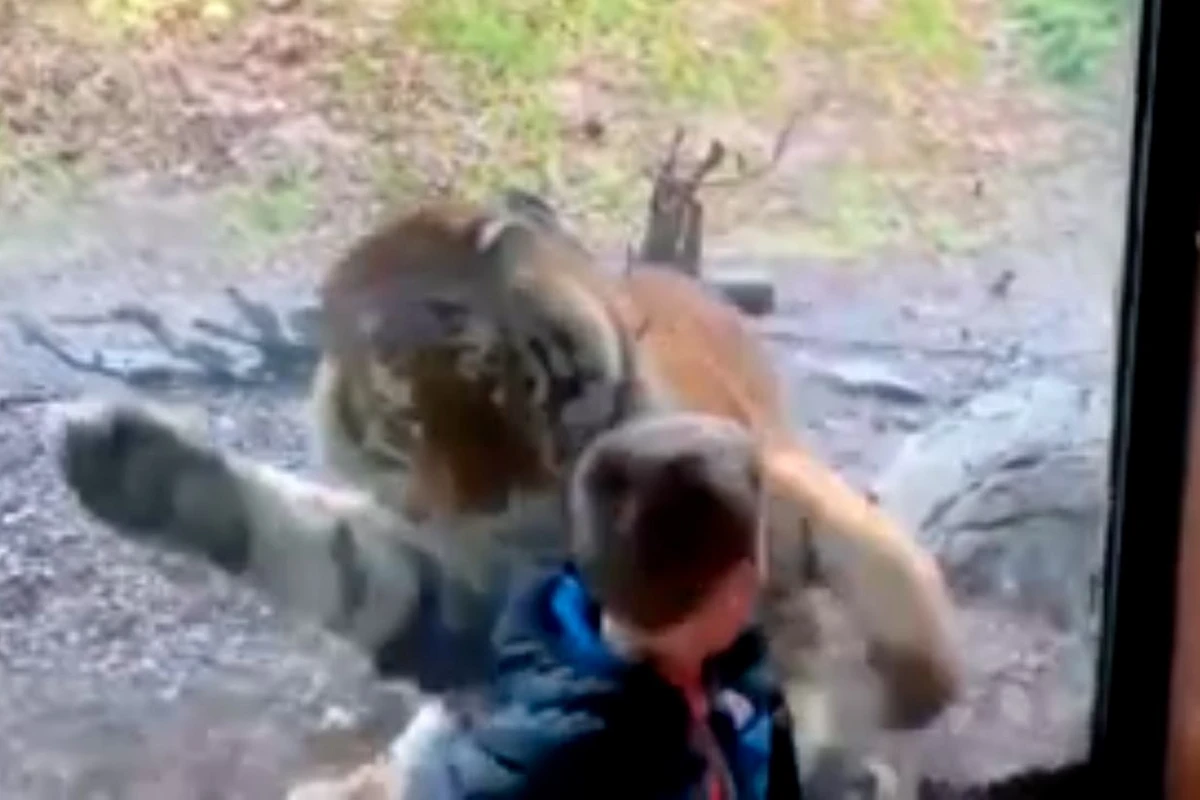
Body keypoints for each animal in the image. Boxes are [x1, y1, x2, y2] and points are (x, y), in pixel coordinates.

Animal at [53, 190, 961, 799]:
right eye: (406, 420)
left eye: (503, 383)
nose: (492, 506)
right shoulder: (465, 597)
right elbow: (337, 556)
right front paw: (130, 464)